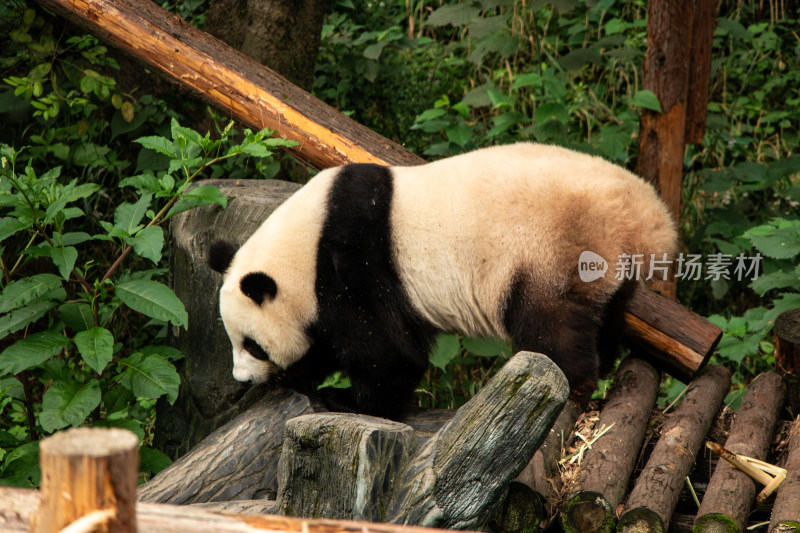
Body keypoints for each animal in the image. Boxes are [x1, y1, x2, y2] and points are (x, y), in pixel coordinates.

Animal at [209, 142, 680, 420]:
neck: (303, 246)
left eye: (252, 344)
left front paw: (347, 400)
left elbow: (386, 350)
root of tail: (646, 217)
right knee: (605, 316)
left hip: (551, 250)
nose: (241, 378)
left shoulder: (354, 260)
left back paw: (575, 387)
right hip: (603, 267)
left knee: (549, 325)